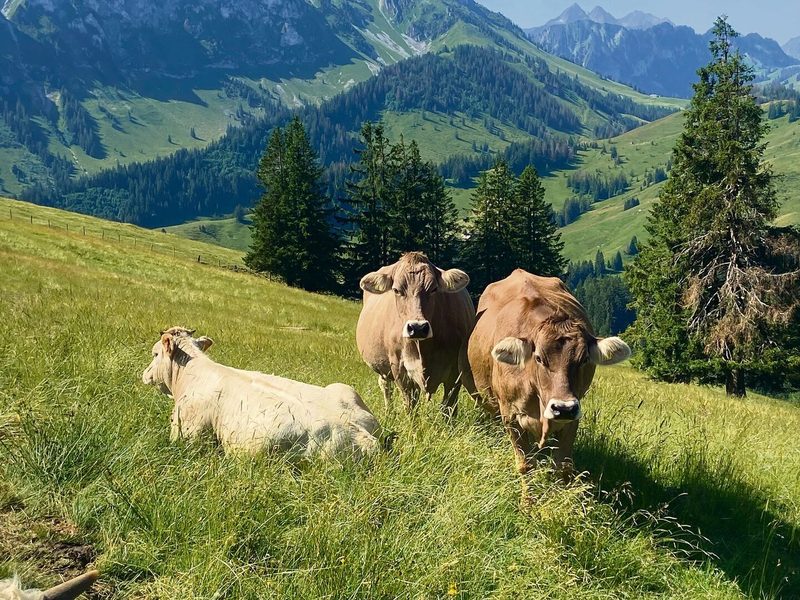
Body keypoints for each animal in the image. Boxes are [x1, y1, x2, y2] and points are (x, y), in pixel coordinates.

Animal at [356, 252, 475, 417]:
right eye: (396, 290)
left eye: (433, 289)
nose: (417, 327)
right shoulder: (400, 369)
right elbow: (410, 407)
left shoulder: (455, 372)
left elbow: (448, 408)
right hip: (383, 368)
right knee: (386, 387)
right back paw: (389, 413)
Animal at [468, 269, 630, 475]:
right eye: (538, 358)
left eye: (584, 359)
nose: (564, 408)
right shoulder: (510, 415)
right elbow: (526, 464)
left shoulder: (572, 418)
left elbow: (563, 466)